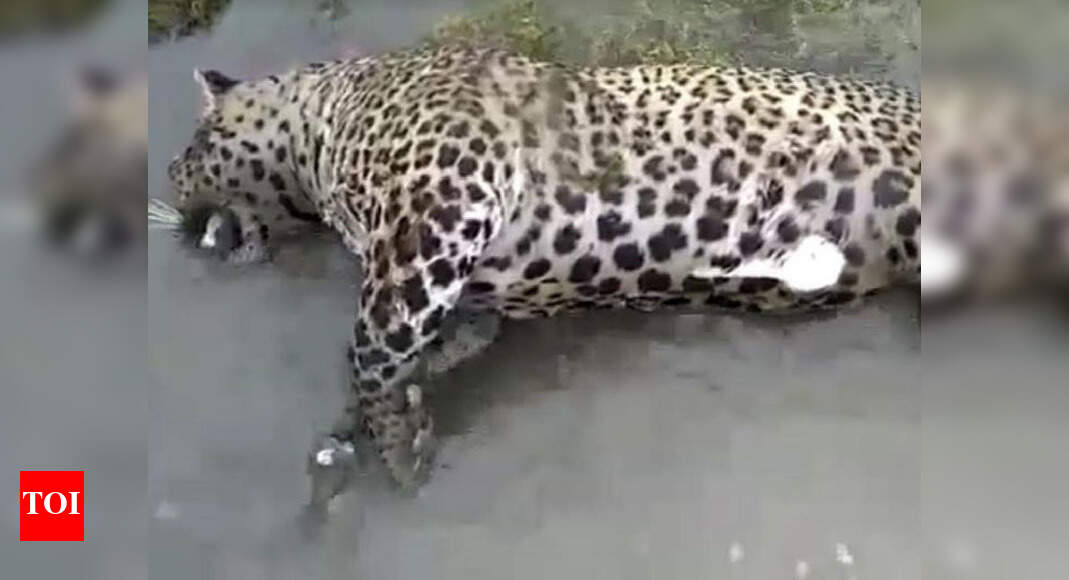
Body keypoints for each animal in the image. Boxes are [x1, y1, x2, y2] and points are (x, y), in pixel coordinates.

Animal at [166, 45, 922, 505]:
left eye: (191, 152)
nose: (169, 189)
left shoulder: (442, 208)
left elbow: (367, 345)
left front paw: (394, 449)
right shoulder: (465, 289)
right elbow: (419, 347)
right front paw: (389, 418)